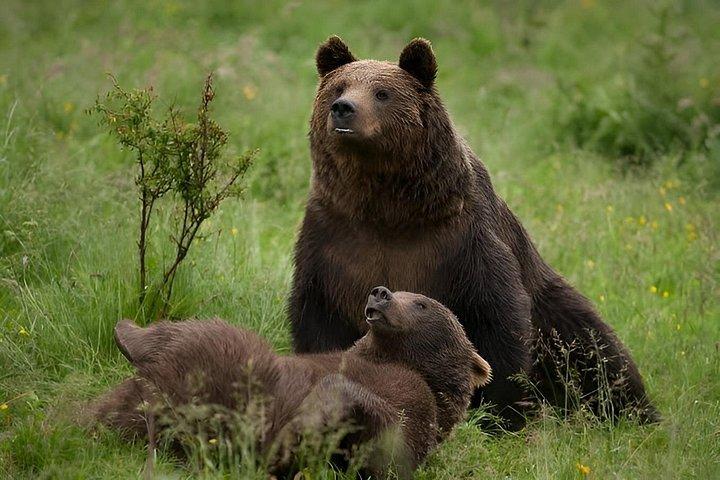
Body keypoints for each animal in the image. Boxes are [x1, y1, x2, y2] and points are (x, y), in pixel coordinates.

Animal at [93, 288, 491, 478]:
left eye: (422, 303)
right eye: (400, 289)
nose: (381, 292)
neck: (393, 357)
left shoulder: (418, 404)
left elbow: (388, 445)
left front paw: (298, 431)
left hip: (239, 385)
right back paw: (127, 332)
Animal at [288, 36, 659, 428]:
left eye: (382, 93)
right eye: (339, 87)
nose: (343, 109)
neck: (388, 208)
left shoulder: (460, 238)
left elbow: (495, 317)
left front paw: (502, 413)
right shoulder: (333, 238)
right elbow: (319, 316)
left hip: (552, 307)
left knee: (593, 349)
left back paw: (633, 412)